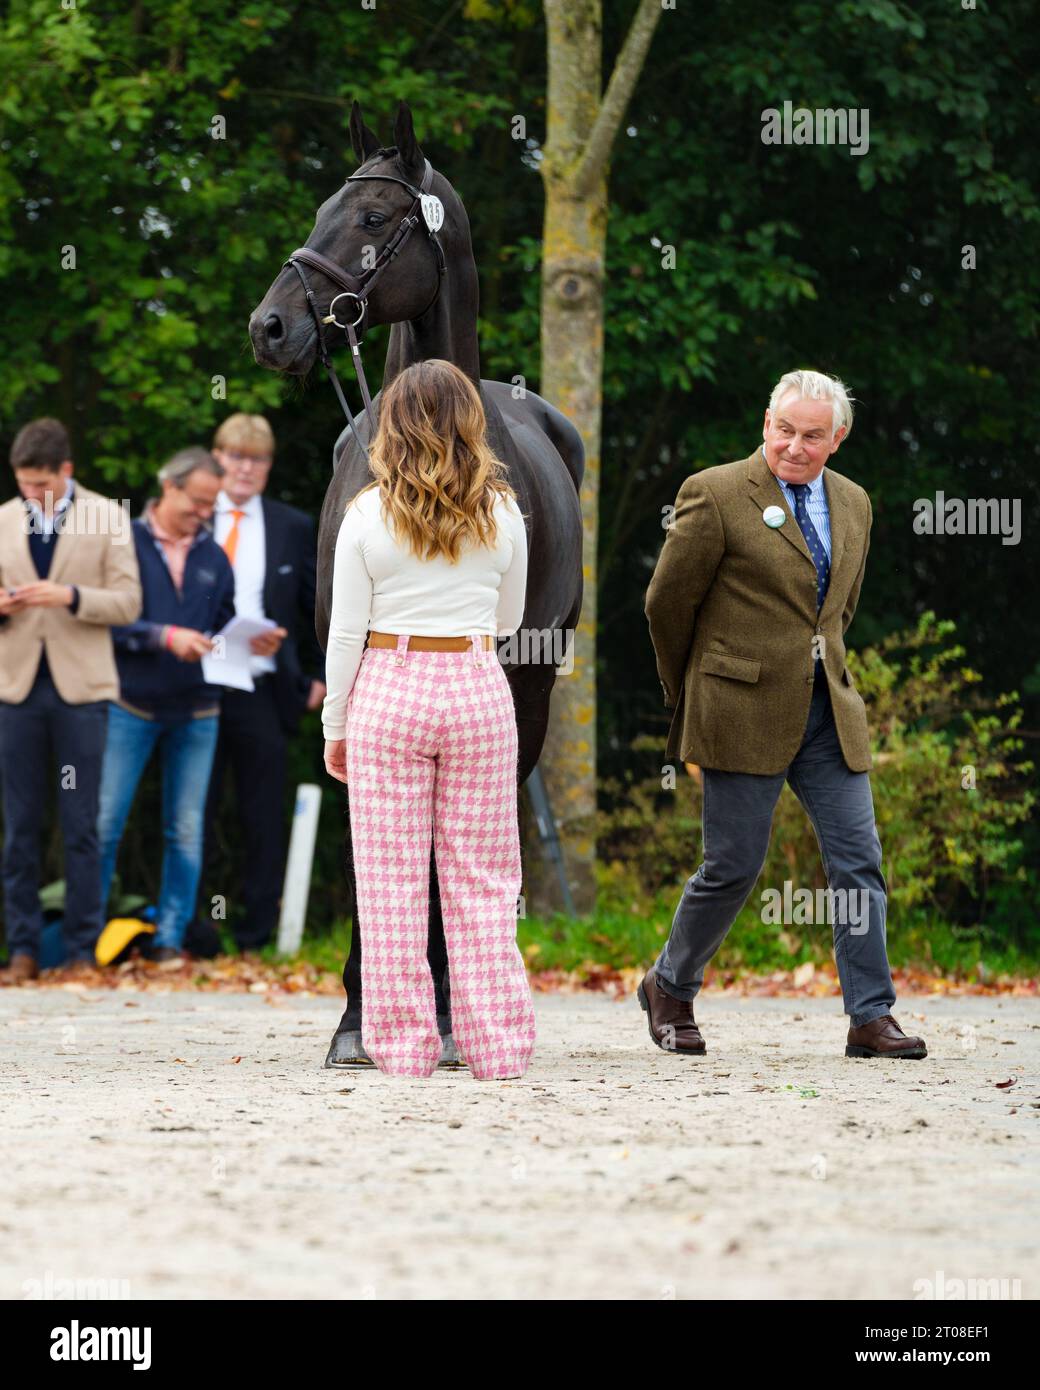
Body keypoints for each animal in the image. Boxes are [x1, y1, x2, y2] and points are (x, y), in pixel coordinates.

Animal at [247, 102, 581, 1067]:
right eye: (323, 206)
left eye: (371, 217)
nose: (270, 326)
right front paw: (357, 1015)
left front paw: (431, 1008)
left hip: (531, 690)